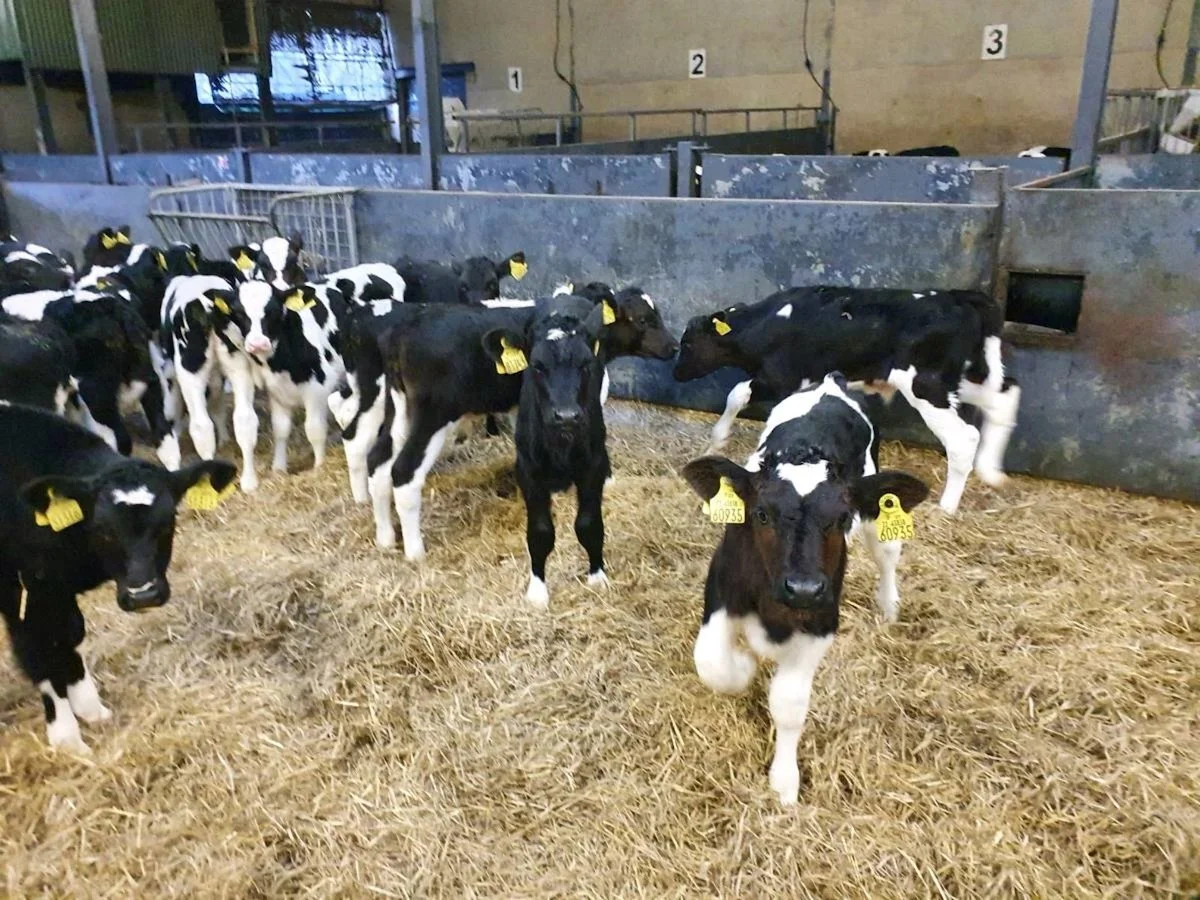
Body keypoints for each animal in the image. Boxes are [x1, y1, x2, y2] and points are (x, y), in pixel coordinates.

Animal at [0, 403, 237, 752]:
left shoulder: (56, 587)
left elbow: (71, 634)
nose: (143, 594)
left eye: (168, 522)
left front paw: (90, 707)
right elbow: (39, 652)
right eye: (103, 530)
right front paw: (66, 737)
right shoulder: (25, 591)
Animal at [235, 281, 344, 486]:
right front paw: (278, 469)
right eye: (238, 313)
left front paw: (319, 467)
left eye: (274, 311)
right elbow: (280, 429)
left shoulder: (318, 387)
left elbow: (315, 429)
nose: (257, 343)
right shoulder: (276, 391)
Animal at [484, 295, 610, 608]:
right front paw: (538, 590)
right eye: (537, 366)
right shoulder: (528, 470)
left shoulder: (593, 465)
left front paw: (596, 575)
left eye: (586, 364)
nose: (566, 416)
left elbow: (589, 524)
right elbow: (540, 532)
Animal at [673, 286, 1020, 515]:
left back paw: (947, 506)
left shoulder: (780, 378)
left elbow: (737, 393)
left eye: (687, 342)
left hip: (924, 383)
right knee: (1006, 395)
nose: (675, 373)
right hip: (957, 379)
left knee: (964, 437)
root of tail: (959, 297)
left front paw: (717, 440)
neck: (768, 323)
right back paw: (991, 472)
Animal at [682, 374, 930, 804]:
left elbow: (789, 703)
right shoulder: (721, 588)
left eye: (841, 517)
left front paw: (784, 782)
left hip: (877, 509)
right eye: (761, 514)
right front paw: (744, 666)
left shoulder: (821, 619)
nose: (802, 588)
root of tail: (832, 381)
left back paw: (889, 605)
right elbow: (713, 663)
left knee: (887, 554)